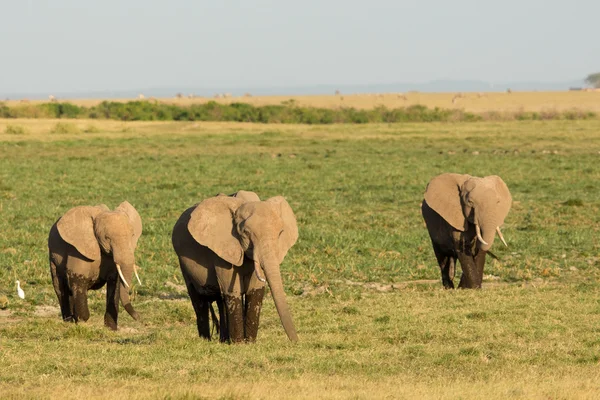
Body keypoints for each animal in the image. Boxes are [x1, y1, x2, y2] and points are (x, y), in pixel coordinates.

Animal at [48, 202, 143, 330]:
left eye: (132, 235)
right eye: (107, 238)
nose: (139, 317)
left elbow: (115, 283)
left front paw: (111, 329)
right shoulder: (77, 252)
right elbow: (78, 281)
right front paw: (82, 323)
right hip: (53, 257)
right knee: (60, 287)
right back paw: (69, 321)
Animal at [171, 191, 298, 344]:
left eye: (280, 233)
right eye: (246, 233)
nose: (296, 341)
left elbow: (255, 289)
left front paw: (250, 342)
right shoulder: (222, 250)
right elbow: (232, 291)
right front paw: (239, 344)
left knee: (220, 300)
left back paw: (223, 340)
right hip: (183, 262)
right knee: (198, 299)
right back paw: (205, 340)